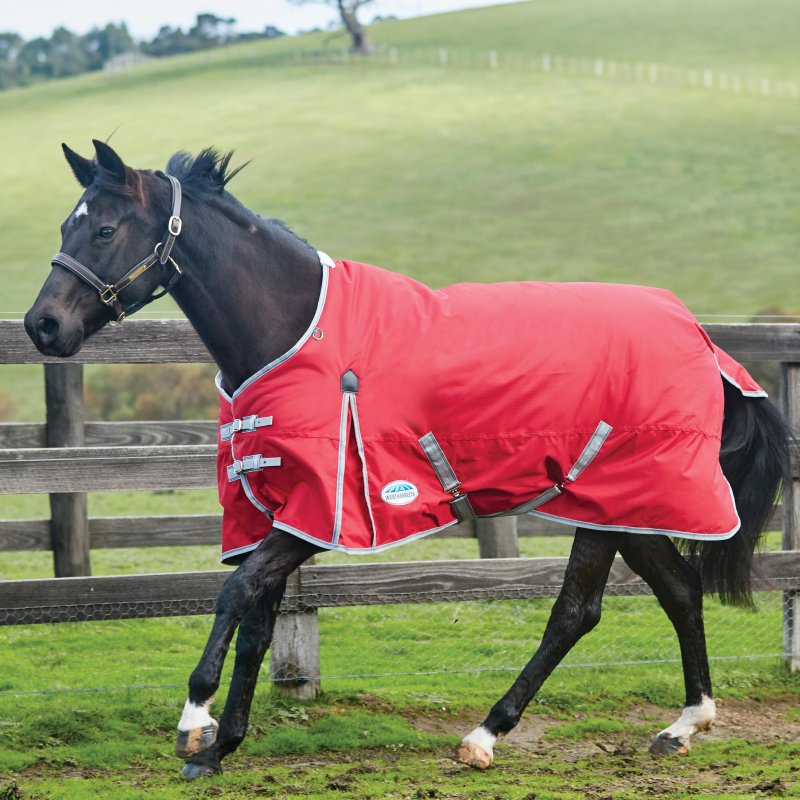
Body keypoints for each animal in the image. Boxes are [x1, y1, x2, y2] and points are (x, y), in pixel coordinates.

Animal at [26, 141, 792, 780]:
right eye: (64, 226)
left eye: (103, 230)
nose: (42, 325)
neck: (297, 333)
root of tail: (702, 339)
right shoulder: (275, 511)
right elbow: (259, 620)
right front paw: (221, 747)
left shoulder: (317, 517)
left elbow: (236, 594)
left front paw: (195, 723)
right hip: (624, 507)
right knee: (677, 591)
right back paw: (682, 725)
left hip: (611, 504)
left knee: (576, 613)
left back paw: (485, 736)